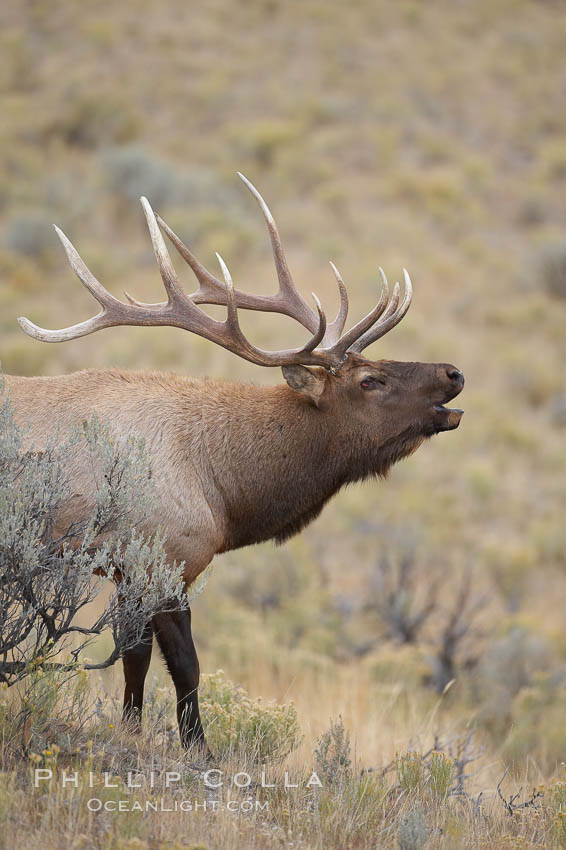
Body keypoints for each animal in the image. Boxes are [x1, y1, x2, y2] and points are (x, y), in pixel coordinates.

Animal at [4, 171, 466, 748]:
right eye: (370, 379)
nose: (453, 373)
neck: (225, 492)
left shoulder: (132, 570)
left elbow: (133, 660)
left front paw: (132, 729)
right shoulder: (165, 561)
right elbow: (182, 665)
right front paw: (196, 746)